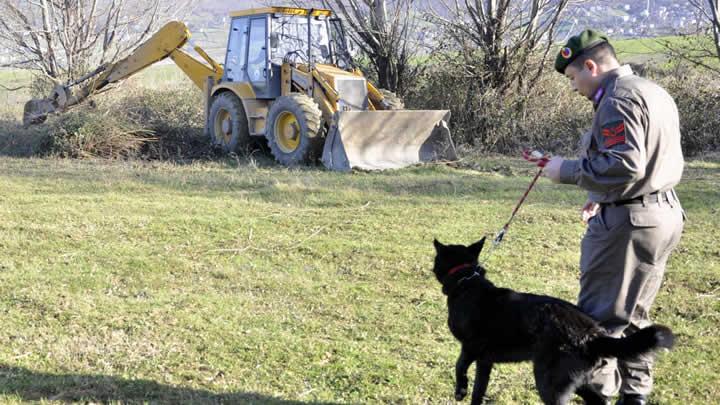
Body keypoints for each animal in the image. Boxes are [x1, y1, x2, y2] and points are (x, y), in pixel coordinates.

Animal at [434, 237, 676, 404]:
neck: (467, 280)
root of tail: (593, 333)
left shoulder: (470, 348)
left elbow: (459, 366)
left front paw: (460, 390)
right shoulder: (485, 361)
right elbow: (478, 391)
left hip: (550, 382)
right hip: (578, 380)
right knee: (598, 400)